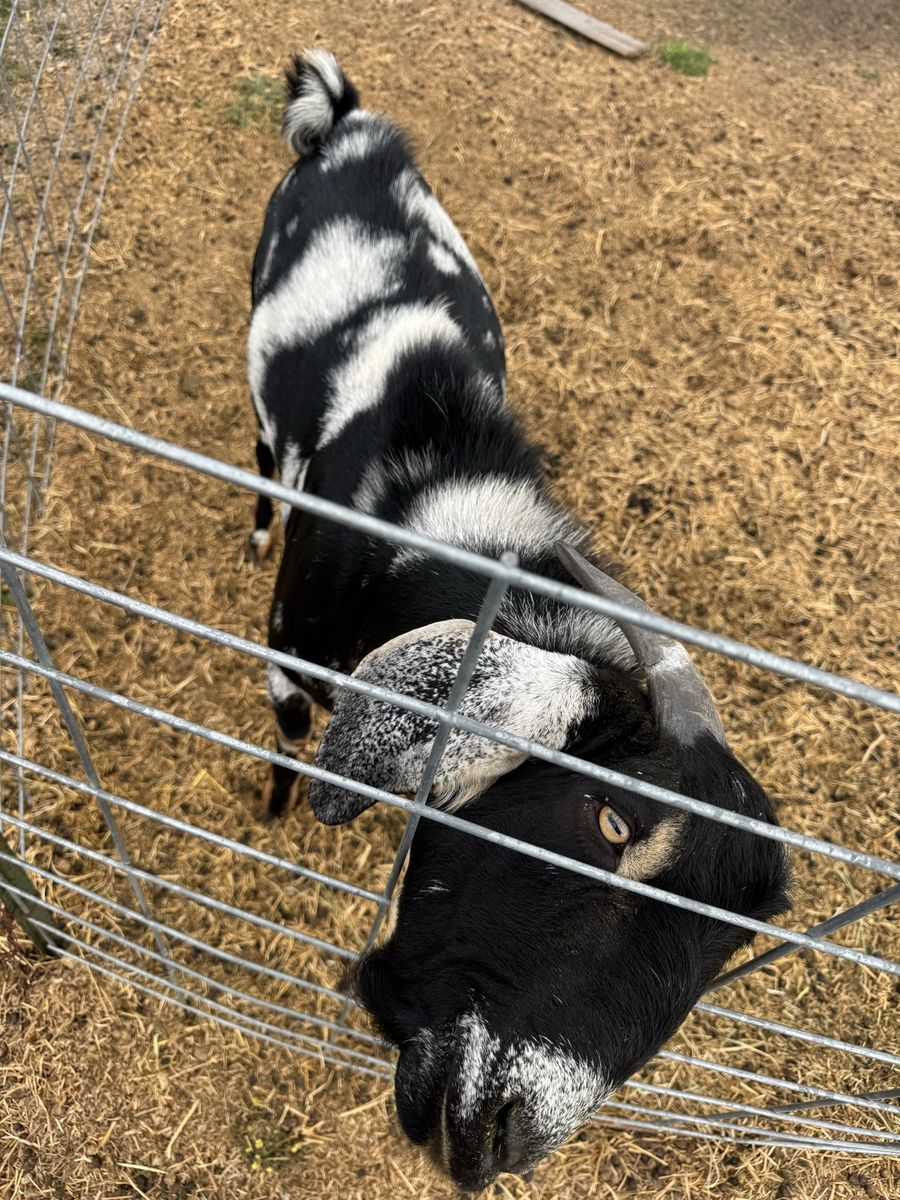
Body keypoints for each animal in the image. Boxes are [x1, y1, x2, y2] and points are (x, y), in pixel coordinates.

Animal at [247, 50, 791, 1192]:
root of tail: (351, 122)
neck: (432, 511)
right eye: (612, 820)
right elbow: (285, 745)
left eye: (730, 946)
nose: (503, 1131)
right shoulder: (285, 653)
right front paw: (275, 820)